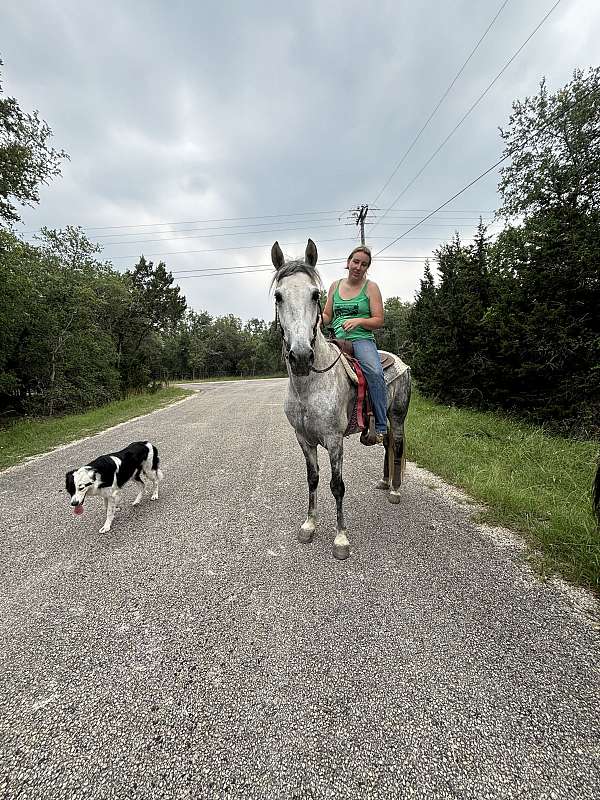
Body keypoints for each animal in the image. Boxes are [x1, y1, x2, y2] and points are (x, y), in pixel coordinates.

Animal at [274, 241, 410, 560]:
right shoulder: (304, 439)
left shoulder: (334, 440)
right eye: (278, 295)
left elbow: (337, 486)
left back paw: (395, 491)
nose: (301, 357)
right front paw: (309, 525)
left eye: (315, 294)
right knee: (386, 444)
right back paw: (384, 482)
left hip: (397, 417)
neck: (308, 387)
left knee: (397, 445)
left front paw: (341, 539)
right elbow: (313, 479)